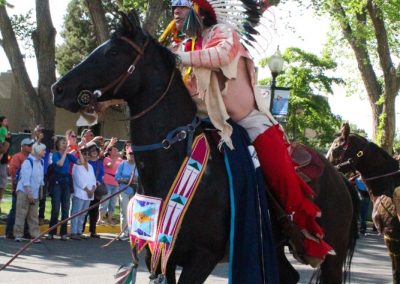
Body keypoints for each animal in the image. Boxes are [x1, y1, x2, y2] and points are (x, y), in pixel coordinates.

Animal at [52, 10, 356, 282]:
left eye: (113, 52)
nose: (58, 89)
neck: (175, 162)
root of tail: (339, 176)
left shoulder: (202, 258)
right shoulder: (160, 257)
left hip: (332, 255)